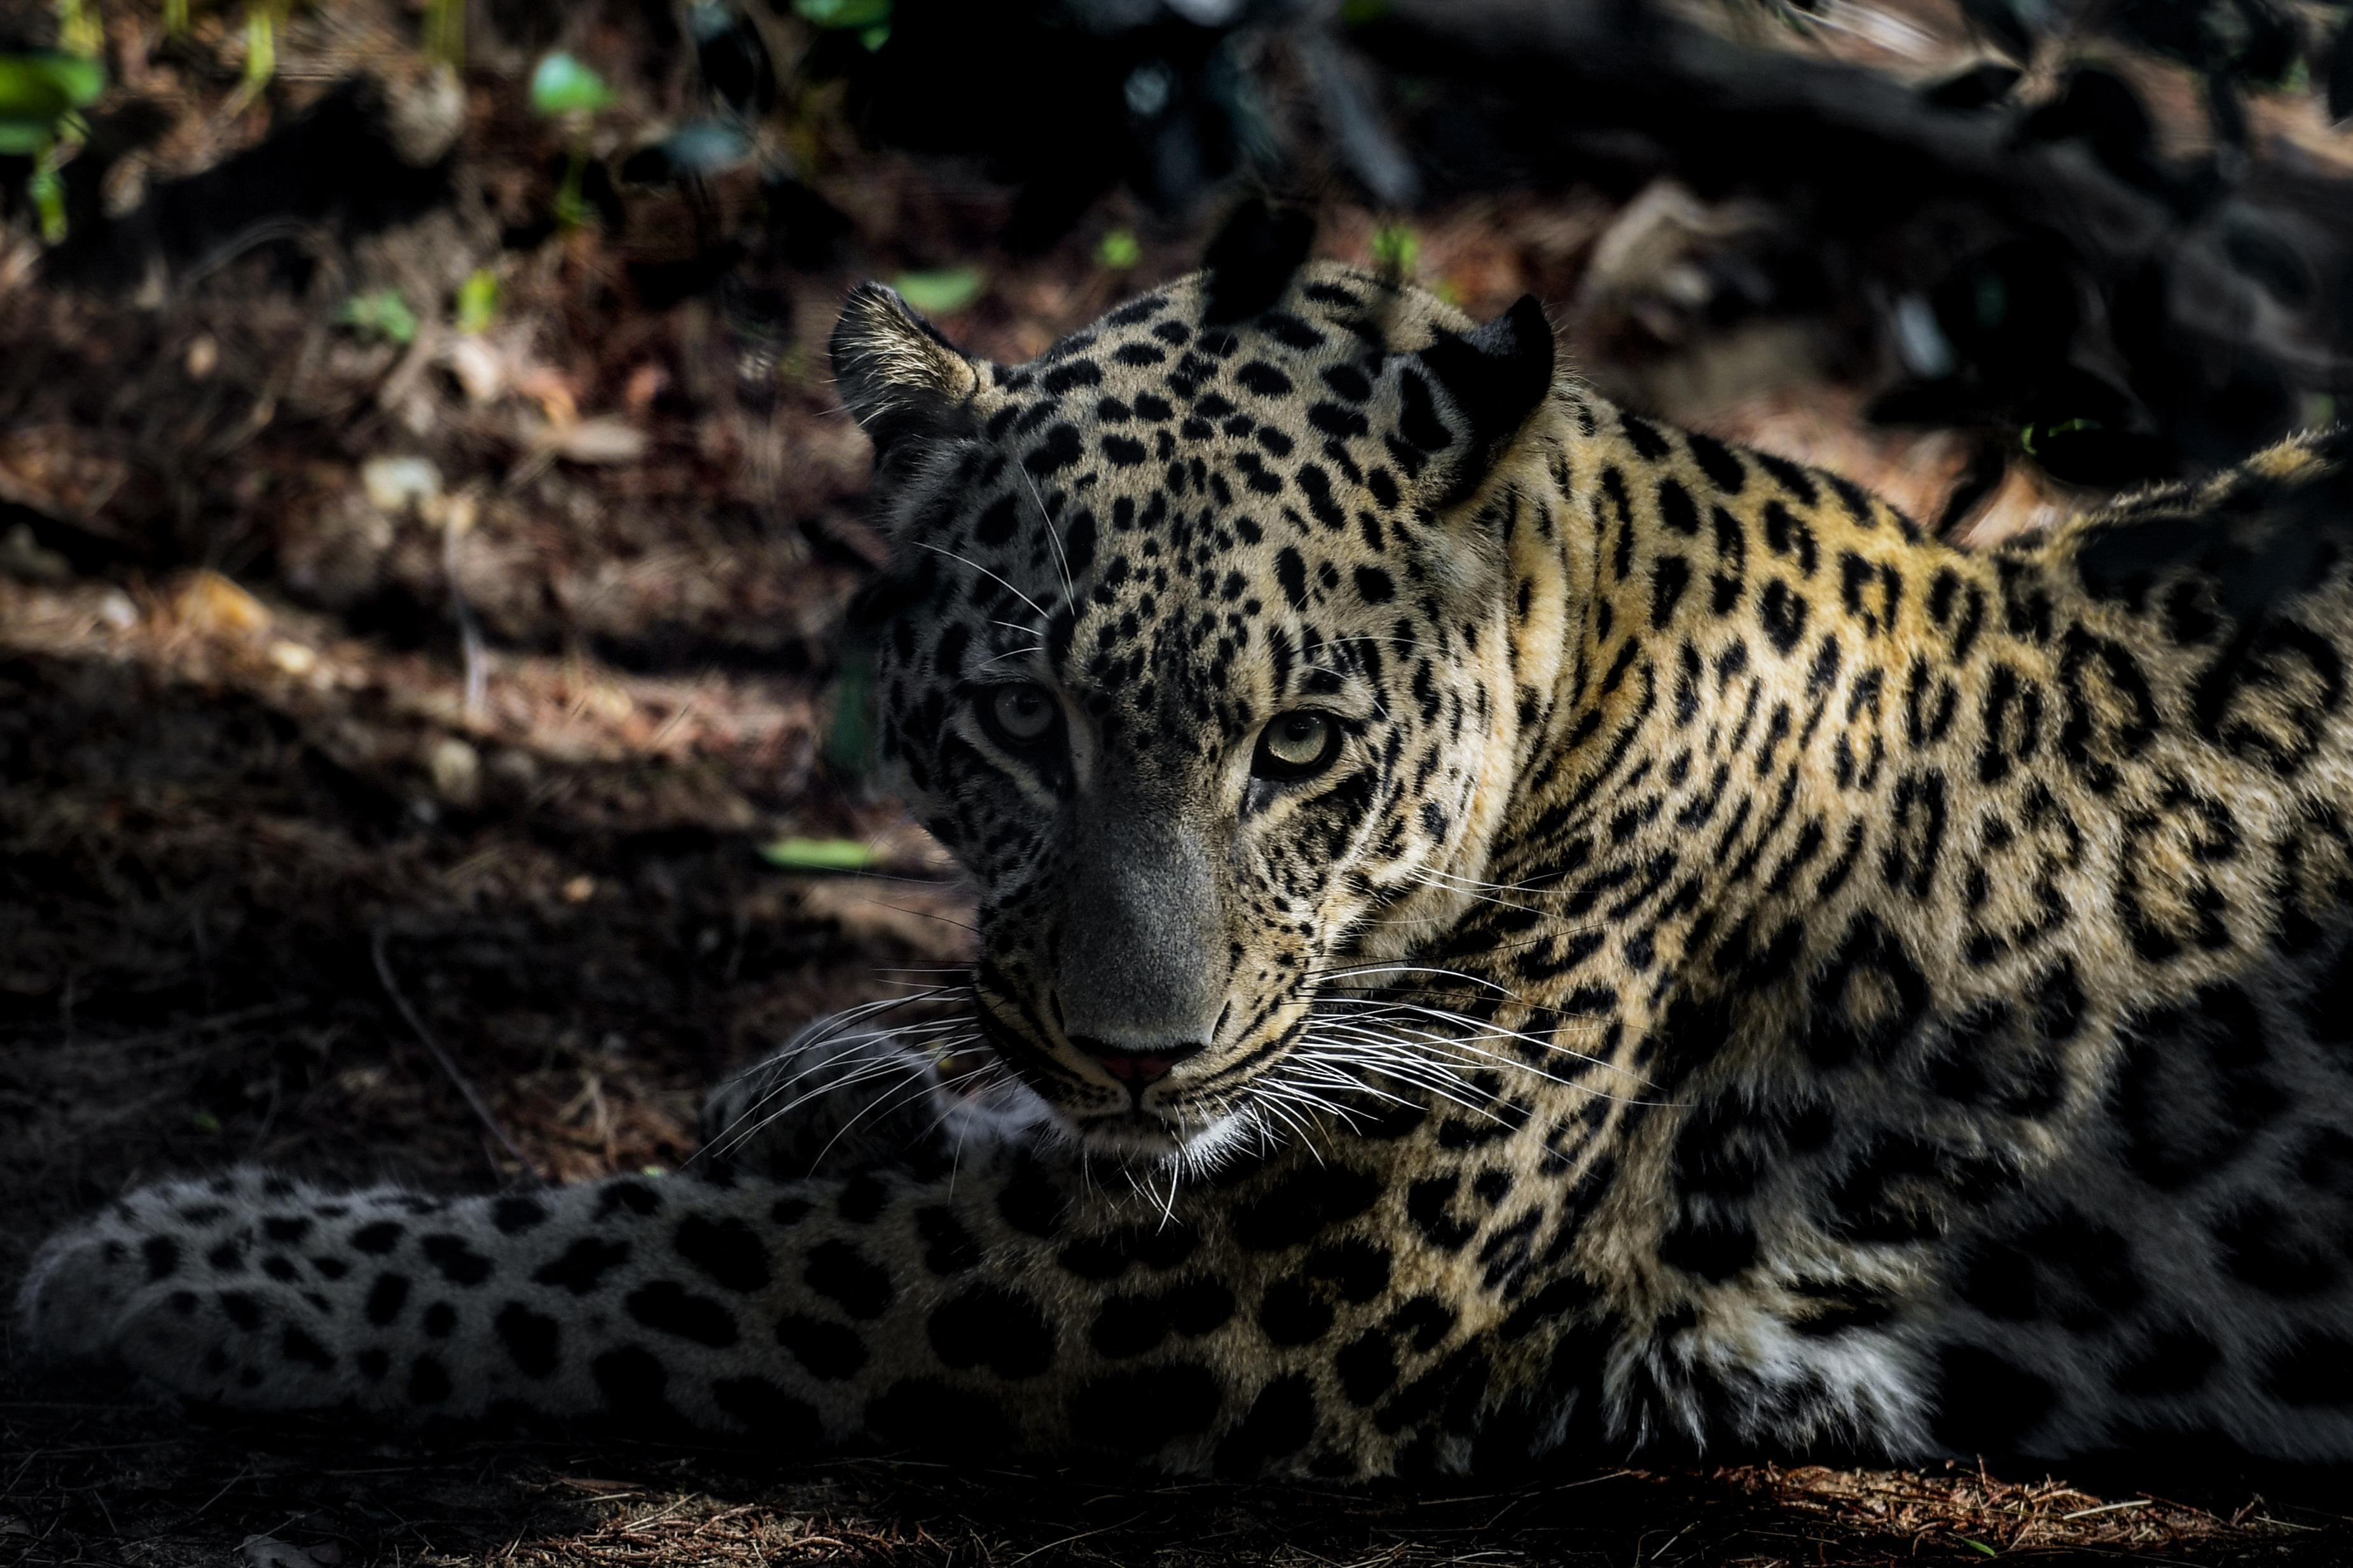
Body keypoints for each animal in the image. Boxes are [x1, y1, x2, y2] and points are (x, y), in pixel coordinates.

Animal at [18, 237, 2353, 1469]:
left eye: (1298, 746)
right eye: (1020, 724)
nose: (1138, 1052)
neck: (1593, 635)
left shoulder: (1233, 1274)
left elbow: (616, 1257)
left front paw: (182, 1260)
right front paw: (819, 1079)